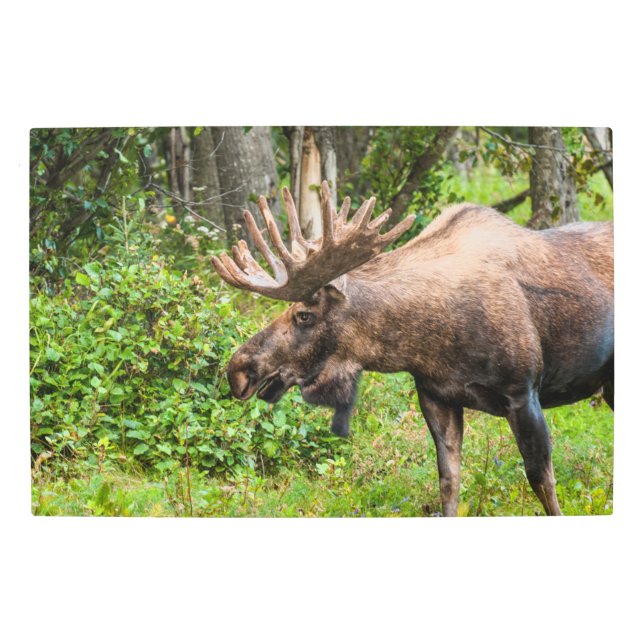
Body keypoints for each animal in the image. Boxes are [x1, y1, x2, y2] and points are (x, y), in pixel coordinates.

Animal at [211, 181, 614, 516]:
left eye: (304, 315)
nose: (238, 369)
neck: (425, 342)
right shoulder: (436, 396)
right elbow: (448, 483)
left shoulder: (523, 392)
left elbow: (542, 481)